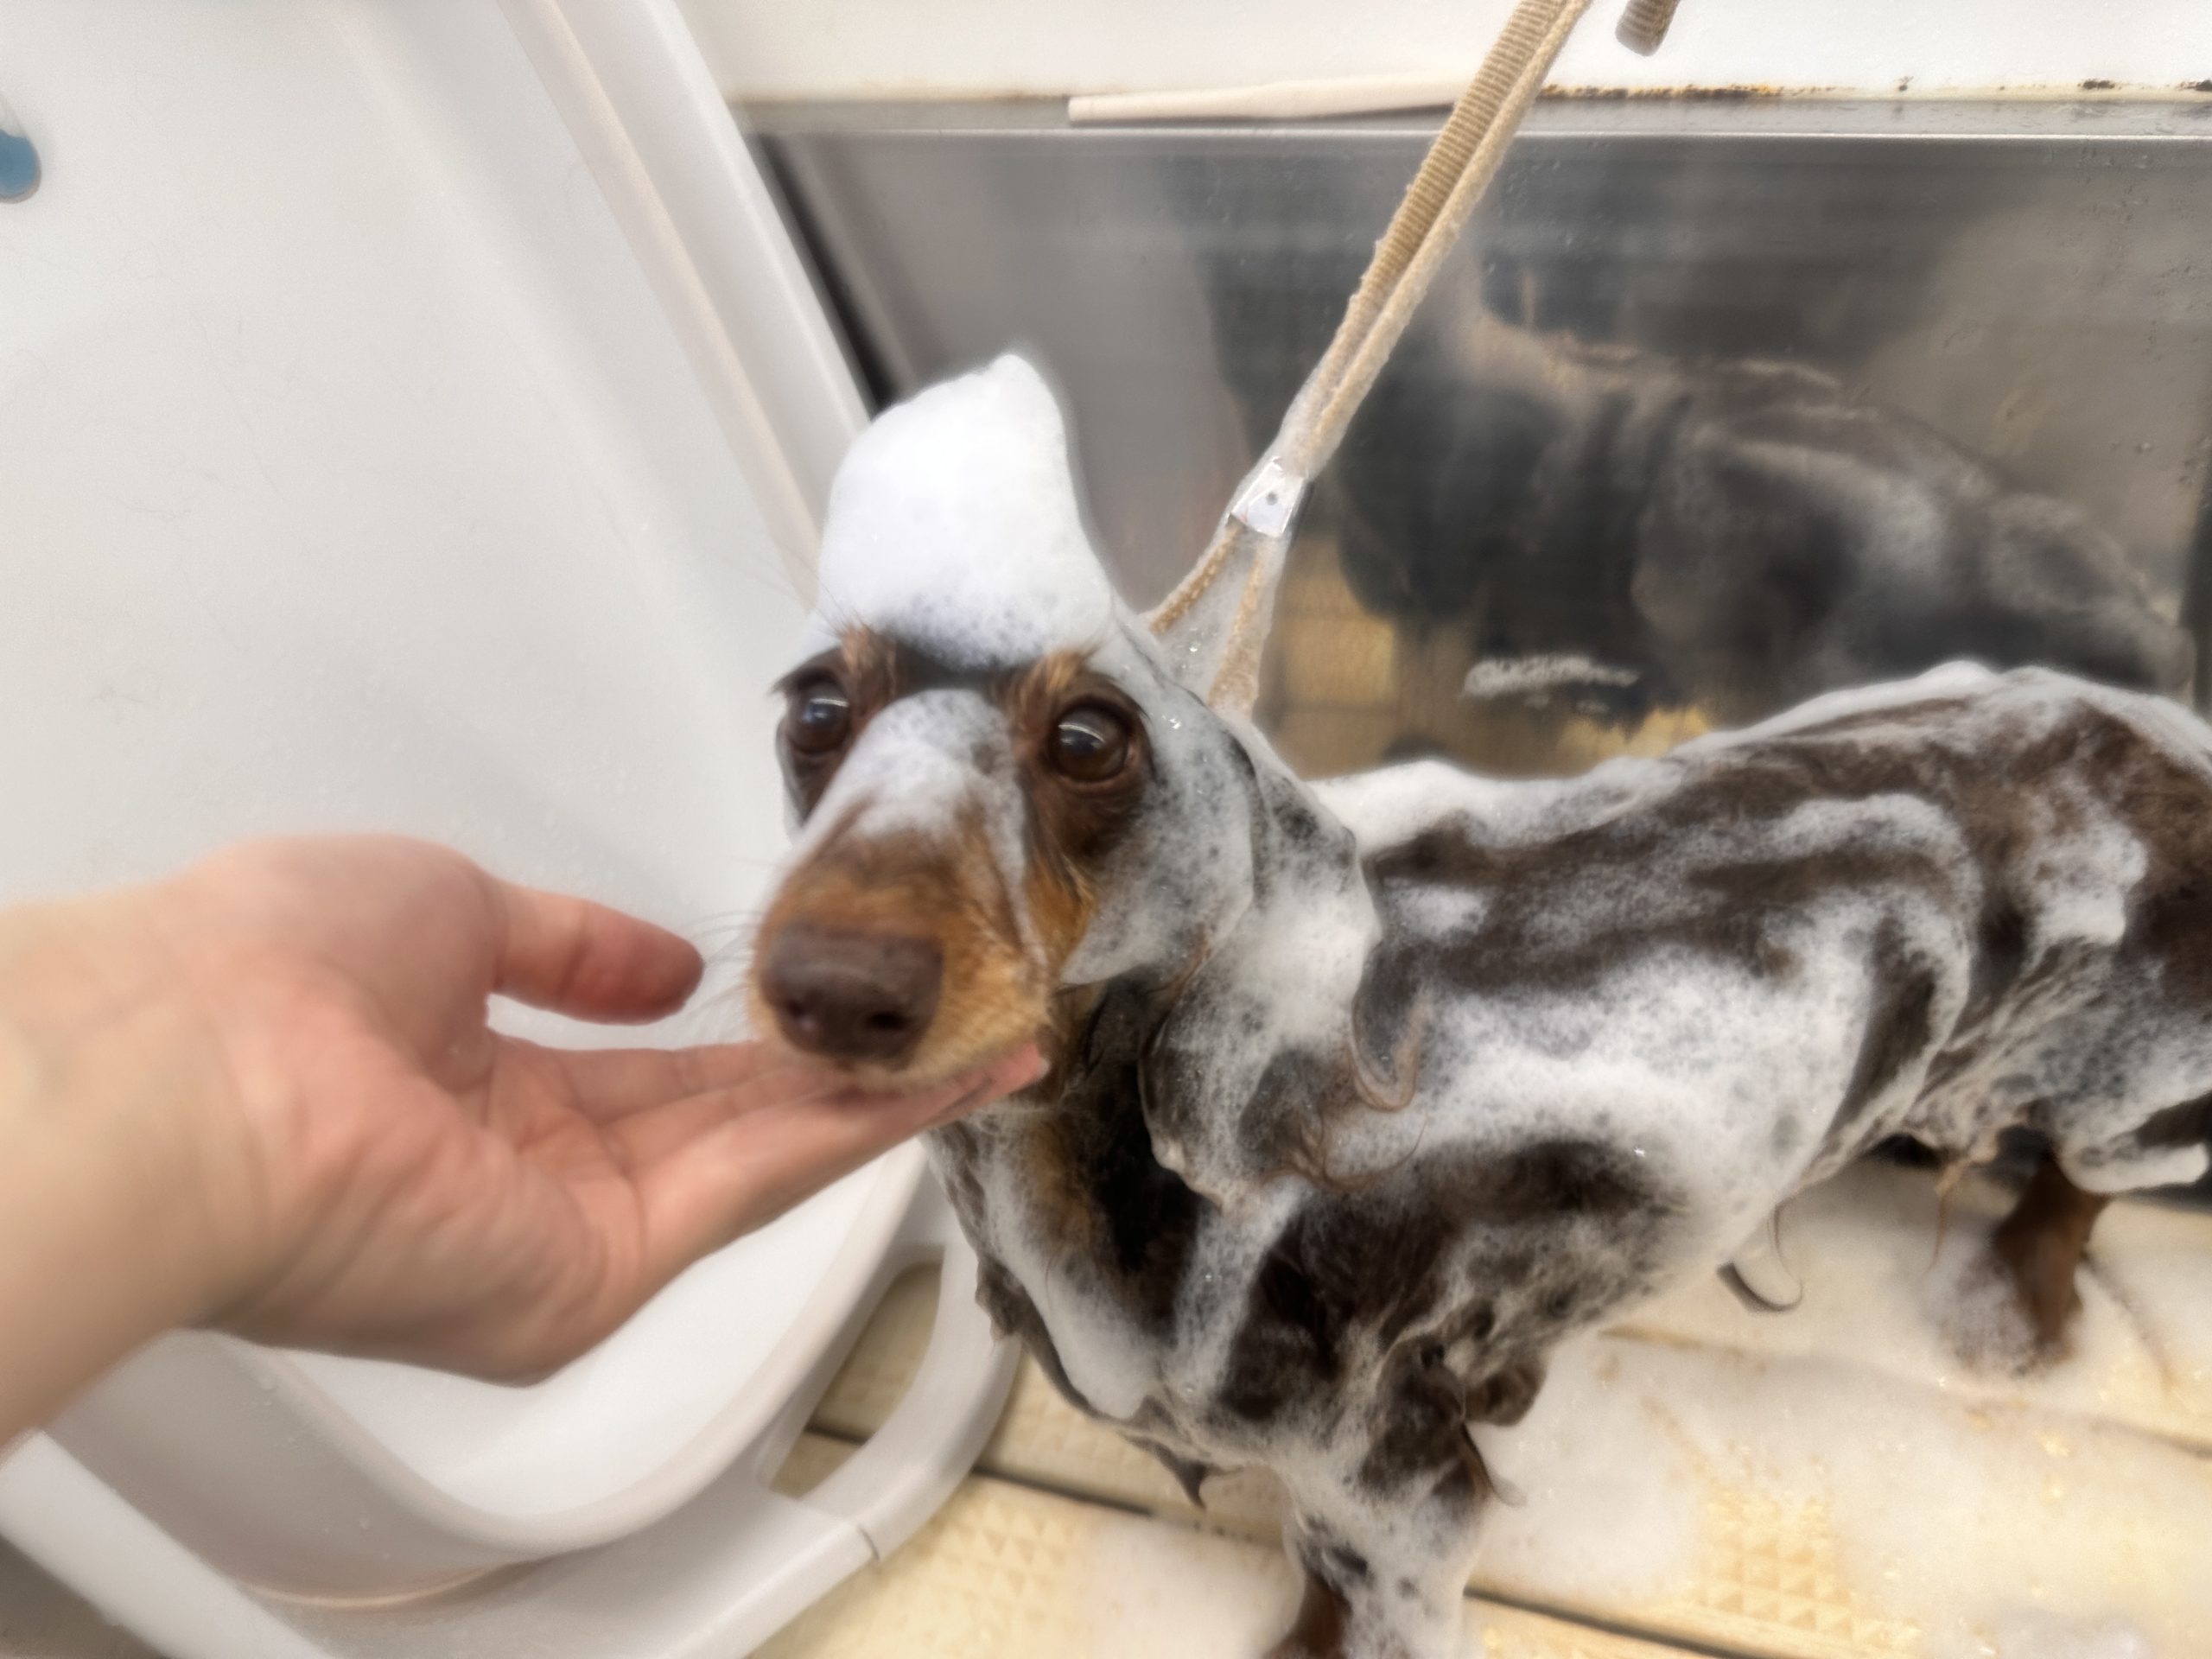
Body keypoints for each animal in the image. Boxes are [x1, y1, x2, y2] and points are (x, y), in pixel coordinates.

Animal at [750, 355, 2212, 1659]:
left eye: (1090, 739)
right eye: (815, 711)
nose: (836, 986)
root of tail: (2165, 738)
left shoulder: (1387, 1469)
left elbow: (1351, 1603)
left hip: (2127, 1089)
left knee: (2077, 1188)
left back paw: (2013, 1313)